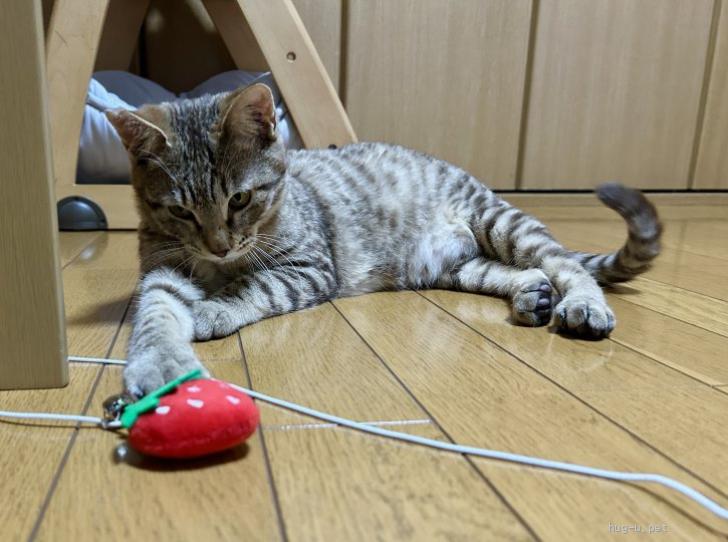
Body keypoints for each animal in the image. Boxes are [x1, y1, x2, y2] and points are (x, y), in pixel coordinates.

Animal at [107, 83, 662, 397]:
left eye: (240, 199)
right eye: (180, 211)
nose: (219, 246)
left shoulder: (309, 266)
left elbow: (253, 286)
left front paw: (215, 308)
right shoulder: (163, 267)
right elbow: (157, 309)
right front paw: (161, 360)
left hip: (499, 222)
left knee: (564, 261)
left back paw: (583, 304)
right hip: (456, 266)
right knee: (515, 269)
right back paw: (533, 294)